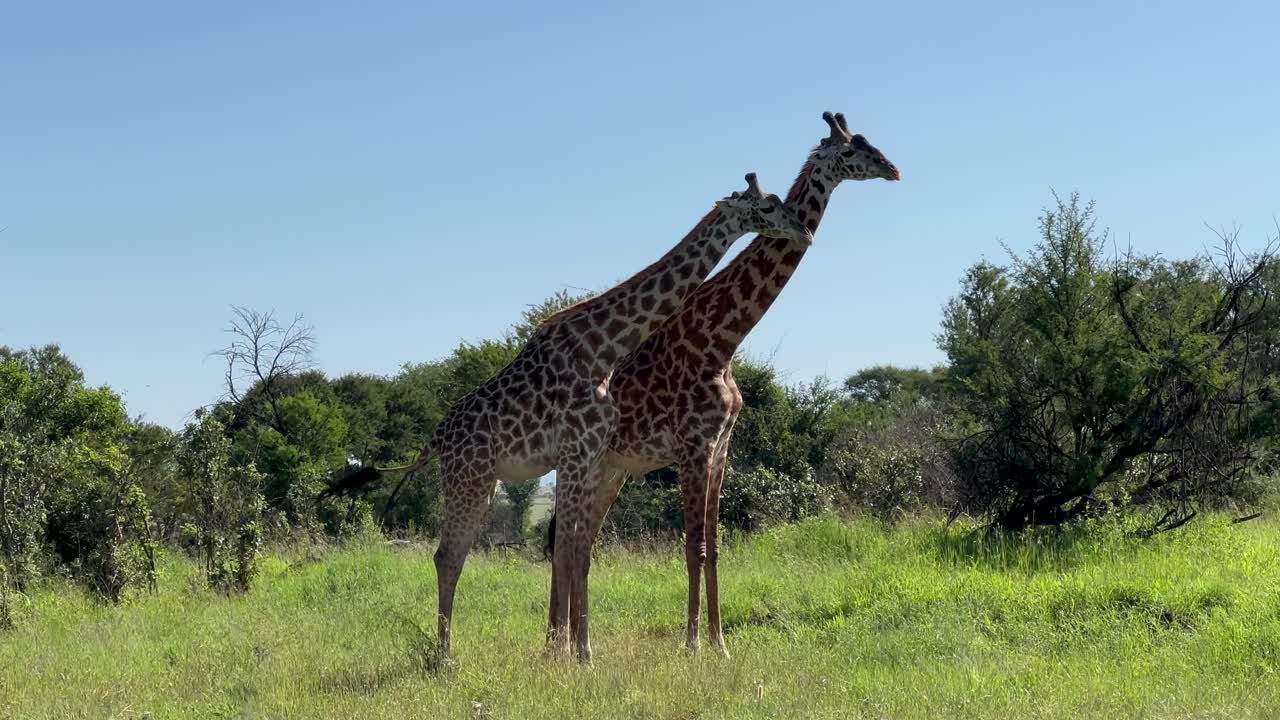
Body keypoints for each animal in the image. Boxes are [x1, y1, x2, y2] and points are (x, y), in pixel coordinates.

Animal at [336, 172, 810, 663]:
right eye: (766, 207)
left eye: (779, 200)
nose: (803, 230)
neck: (604, 349)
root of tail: (436, 438)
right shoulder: (578, 449)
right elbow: (569, 551)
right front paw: (573, 653)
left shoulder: (589, 453)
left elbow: (576, 551)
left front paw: (579, 651)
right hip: (472, 477)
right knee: (448, 555)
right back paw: (445, 657)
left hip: (484, 479)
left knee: (461, 553)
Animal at [548, 111, 900, 655]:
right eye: (849, 151)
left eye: (869, 142)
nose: (892, 168)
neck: (722, 338)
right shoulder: (693, 445)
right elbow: (692, 546)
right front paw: (692, 644)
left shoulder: (721, 446)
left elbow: (713, 548)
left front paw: (718, 642)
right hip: (582, 465)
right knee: (565, 541)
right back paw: (558, 645)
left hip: (612, 470)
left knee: (579, 541)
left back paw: (570, 644)